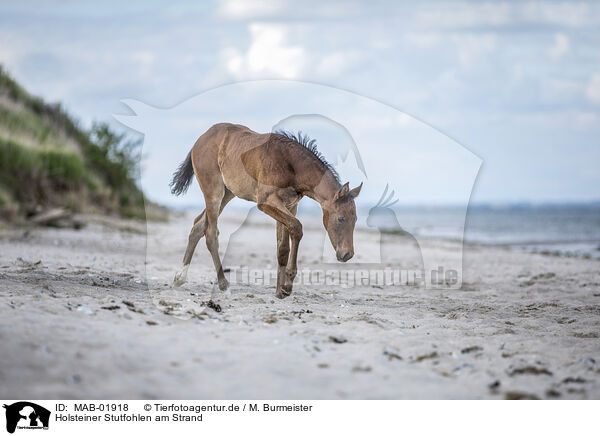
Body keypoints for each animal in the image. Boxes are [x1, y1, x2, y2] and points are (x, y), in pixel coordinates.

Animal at [169, 123, 360, 300]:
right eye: (341, 218)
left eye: (356, 219)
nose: (347, 254)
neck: (291, 165)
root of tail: (200, 139)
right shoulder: (267, 202)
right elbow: (296, 228)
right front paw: (287, 286)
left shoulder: (289, 206)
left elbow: (282, 246)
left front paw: (280, 290)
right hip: (214, 191)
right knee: (210, 233)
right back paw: (223, 285)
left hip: (227, 193)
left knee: (198, 226)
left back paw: (179, 278)